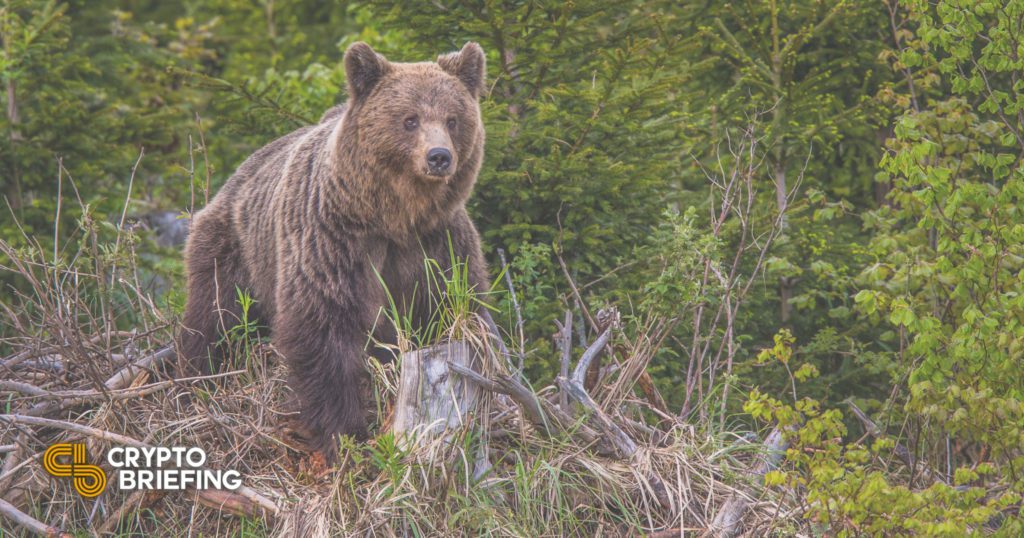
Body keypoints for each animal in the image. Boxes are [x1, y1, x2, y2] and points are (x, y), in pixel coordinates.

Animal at [178, 42, 489, 459]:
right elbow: (322, 329)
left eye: (453, 119)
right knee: (214, 317)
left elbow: (453, 308)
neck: (395, 218)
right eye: (409, 120)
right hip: (235, 248)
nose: (439, 156)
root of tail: (237, 176)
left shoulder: (439, 247)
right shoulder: (333, 239)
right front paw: (343, 432)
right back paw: (195, 380)